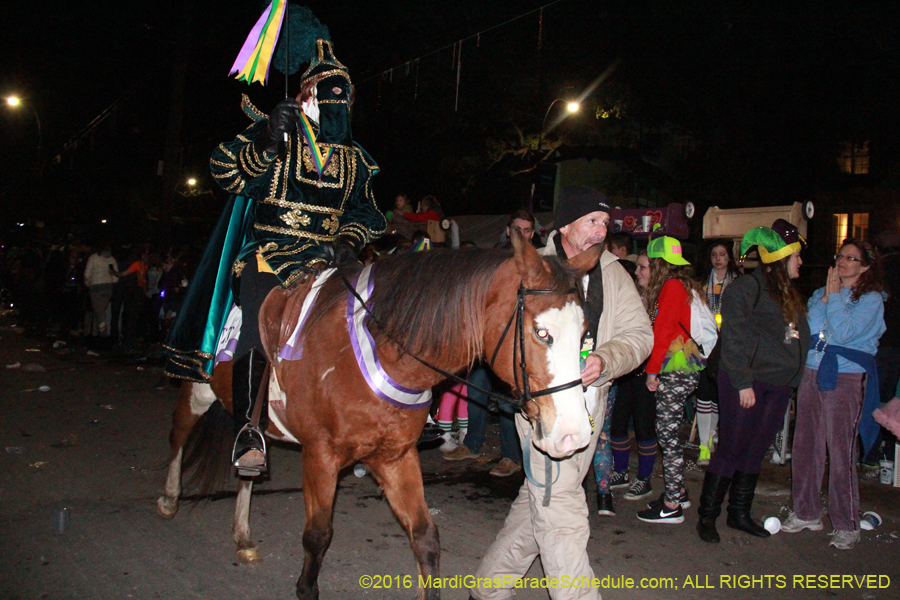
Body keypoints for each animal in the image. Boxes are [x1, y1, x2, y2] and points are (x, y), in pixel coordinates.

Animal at [158, 234, 600, 600]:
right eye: (542, 333)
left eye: (583, 335)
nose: (574, 436)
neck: (381, 349)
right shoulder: (320, 456)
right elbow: (317, 536)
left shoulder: (394, 456)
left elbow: (425, 537)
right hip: (197, 384)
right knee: (179, 429)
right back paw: (169, 498)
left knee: (246, 462)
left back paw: (243, 533)